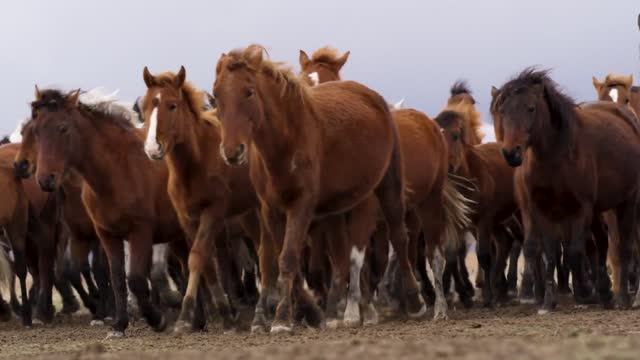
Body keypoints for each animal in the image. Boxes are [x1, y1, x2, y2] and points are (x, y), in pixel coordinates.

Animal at [21, 88, 190, 338]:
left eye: (63, 128)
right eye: (36, 131)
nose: (45, 179)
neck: (117, 171)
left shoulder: (140, 232)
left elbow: (136, 279)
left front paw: (156, 319)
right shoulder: (107, 235)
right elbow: (117, 278)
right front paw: (119, 324)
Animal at [139, 67, 260, 332]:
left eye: (172, 105)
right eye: (145, 106)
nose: (152, 149)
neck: (196, 162)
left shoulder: (213, 211)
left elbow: (197, 256)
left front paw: (185, 317)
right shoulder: (187, 218)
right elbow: (206, 263)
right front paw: (225, 315)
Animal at [212, 45, 428, 332]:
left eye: (248, 91)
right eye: (216, 94)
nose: (232, 151)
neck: (286, 141)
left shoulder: (302, 205)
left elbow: (289, 258)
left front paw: (282, 318)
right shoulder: (271, 209)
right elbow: (286, 259)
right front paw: (312, 312)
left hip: (388, 186)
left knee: (398, 238)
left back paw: (413, 302)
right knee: (342, 255)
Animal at [496, 68, 640, 312]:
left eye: (531, 108)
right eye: (503, 110)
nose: (511, 153)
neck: (556, 156)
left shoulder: (581, 209)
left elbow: (574, 252)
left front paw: (584, 294)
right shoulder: (542, 210)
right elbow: (551, 254)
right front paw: (547, 302)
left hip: (627, 203)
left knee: (624, 248)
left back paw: (621, 298)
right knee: (602, 245)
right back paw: (606, 293)